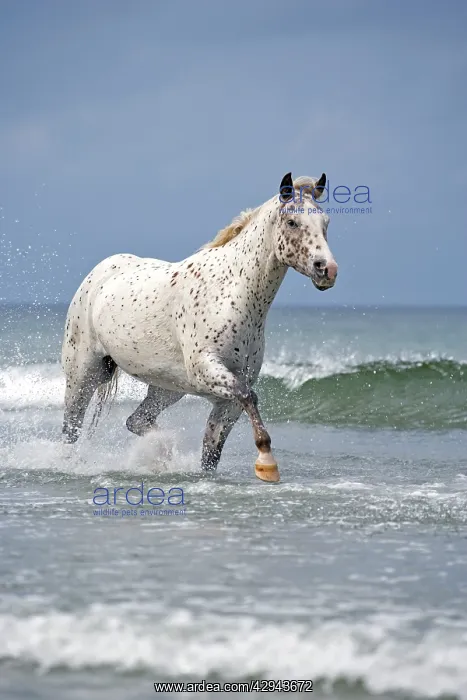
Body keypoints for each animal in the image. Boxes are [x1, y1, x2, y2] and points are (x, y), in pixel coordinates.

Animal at [61, 172, 338, 482]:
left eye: (325, 223)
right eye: (292, 222)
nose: (328, 270)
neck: (230, 292)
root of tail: (100, 272)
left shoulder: (226, 402)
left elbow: (211, 452)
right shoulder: (209, 370)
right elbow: (249, 396)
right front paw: (267, 465)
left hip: (167, 388)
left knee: (136, 420)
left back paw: (161, 451)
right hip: (83, 374)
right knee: (71, 429)